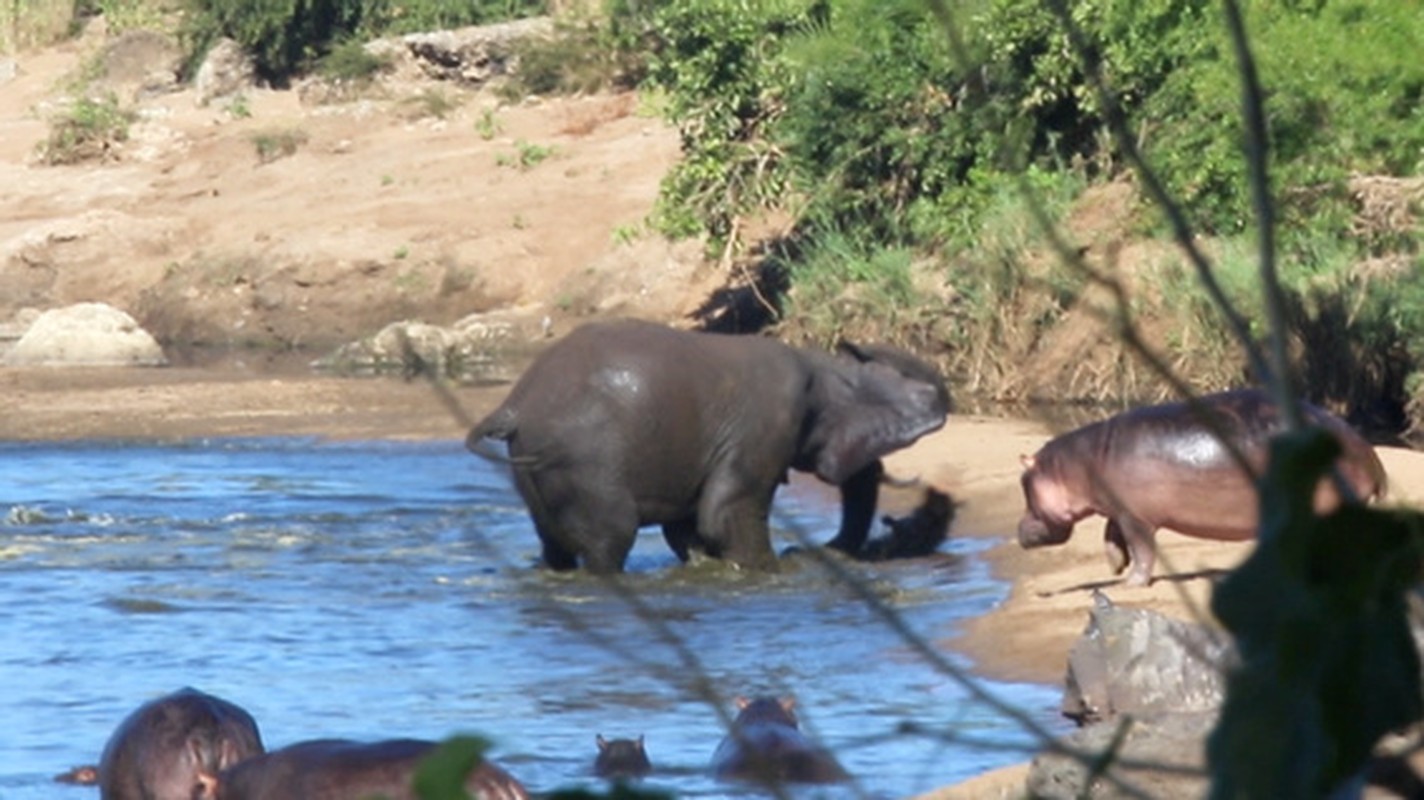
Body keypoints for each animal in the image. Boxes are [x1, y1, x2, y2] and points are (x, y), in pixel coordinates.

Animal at [467, 317, 951, 572]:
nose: (805, 551)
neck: (822, 365)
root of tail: (513, 407)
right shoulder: (767, 423)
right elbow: (723, 515)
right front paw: (771, 572)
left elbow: (689, 527)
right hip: (584, 461)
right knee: (611, 538)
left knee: (555, 545)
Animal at [1019, 387, 1384, 586]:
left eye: (1024, 484)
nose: (1018, 529)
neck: (1076, 465)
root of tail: (1368, 453)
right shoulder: (1120, 509)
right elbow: (1111, 535)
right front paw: (1116, 566)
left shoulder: (1136, 517)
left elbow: (1142, 548)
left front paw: (1133, 582)